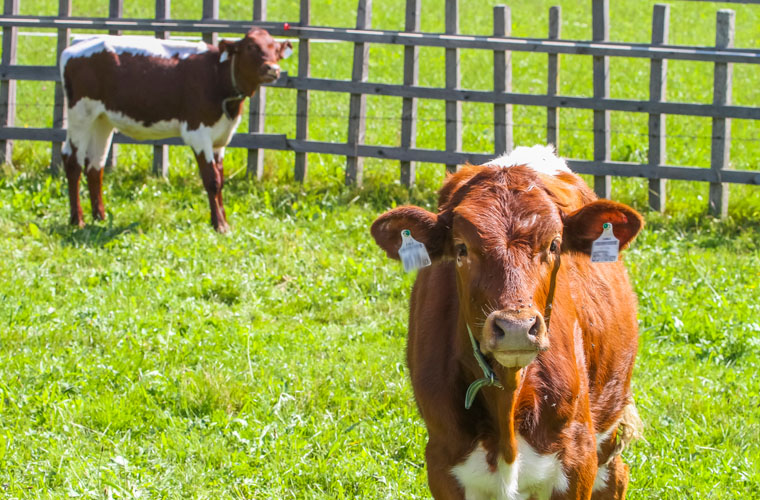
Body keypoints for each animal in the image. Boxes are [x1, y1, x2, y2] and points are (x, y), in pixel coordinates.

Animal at [58, 30, 290, 233]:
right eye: (251, 47)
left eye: (276, 49)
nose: (273, 69)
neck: (217, 75)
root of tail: (77, 45)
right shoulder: (198, 133)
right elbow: (212, 181)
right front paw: (219, 225)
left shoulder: (220, 139)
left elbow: (221, 180)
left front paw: (223, 220)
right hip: (80, 115)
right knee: (72, 162)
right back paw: (77, 220)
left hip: (102, 120)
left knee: (95, 166)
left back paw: (99, 217)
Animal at [372, 146, 644, 500]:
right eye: (461, 248)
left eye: (554, 244)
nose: (516, 328)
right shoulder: (443, 461)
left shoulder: (577, 456)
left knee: (616, 475)